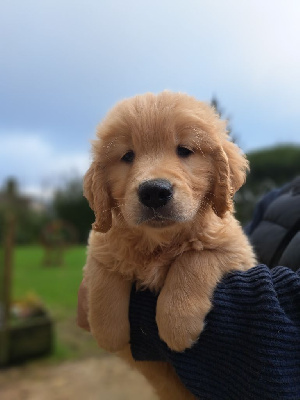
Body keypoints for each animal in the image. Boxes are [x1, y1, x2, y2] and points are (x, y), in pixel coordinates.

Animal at [83, 91, 256, 400]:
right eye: (127, 156)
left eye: (184, 150)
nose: (154, 192)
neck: (158, 242)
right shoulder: (99, 244)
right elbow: (104, 275)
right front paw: (107, 331)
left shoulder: (235, 248)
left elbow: (195, 258)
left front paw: (177, 322)